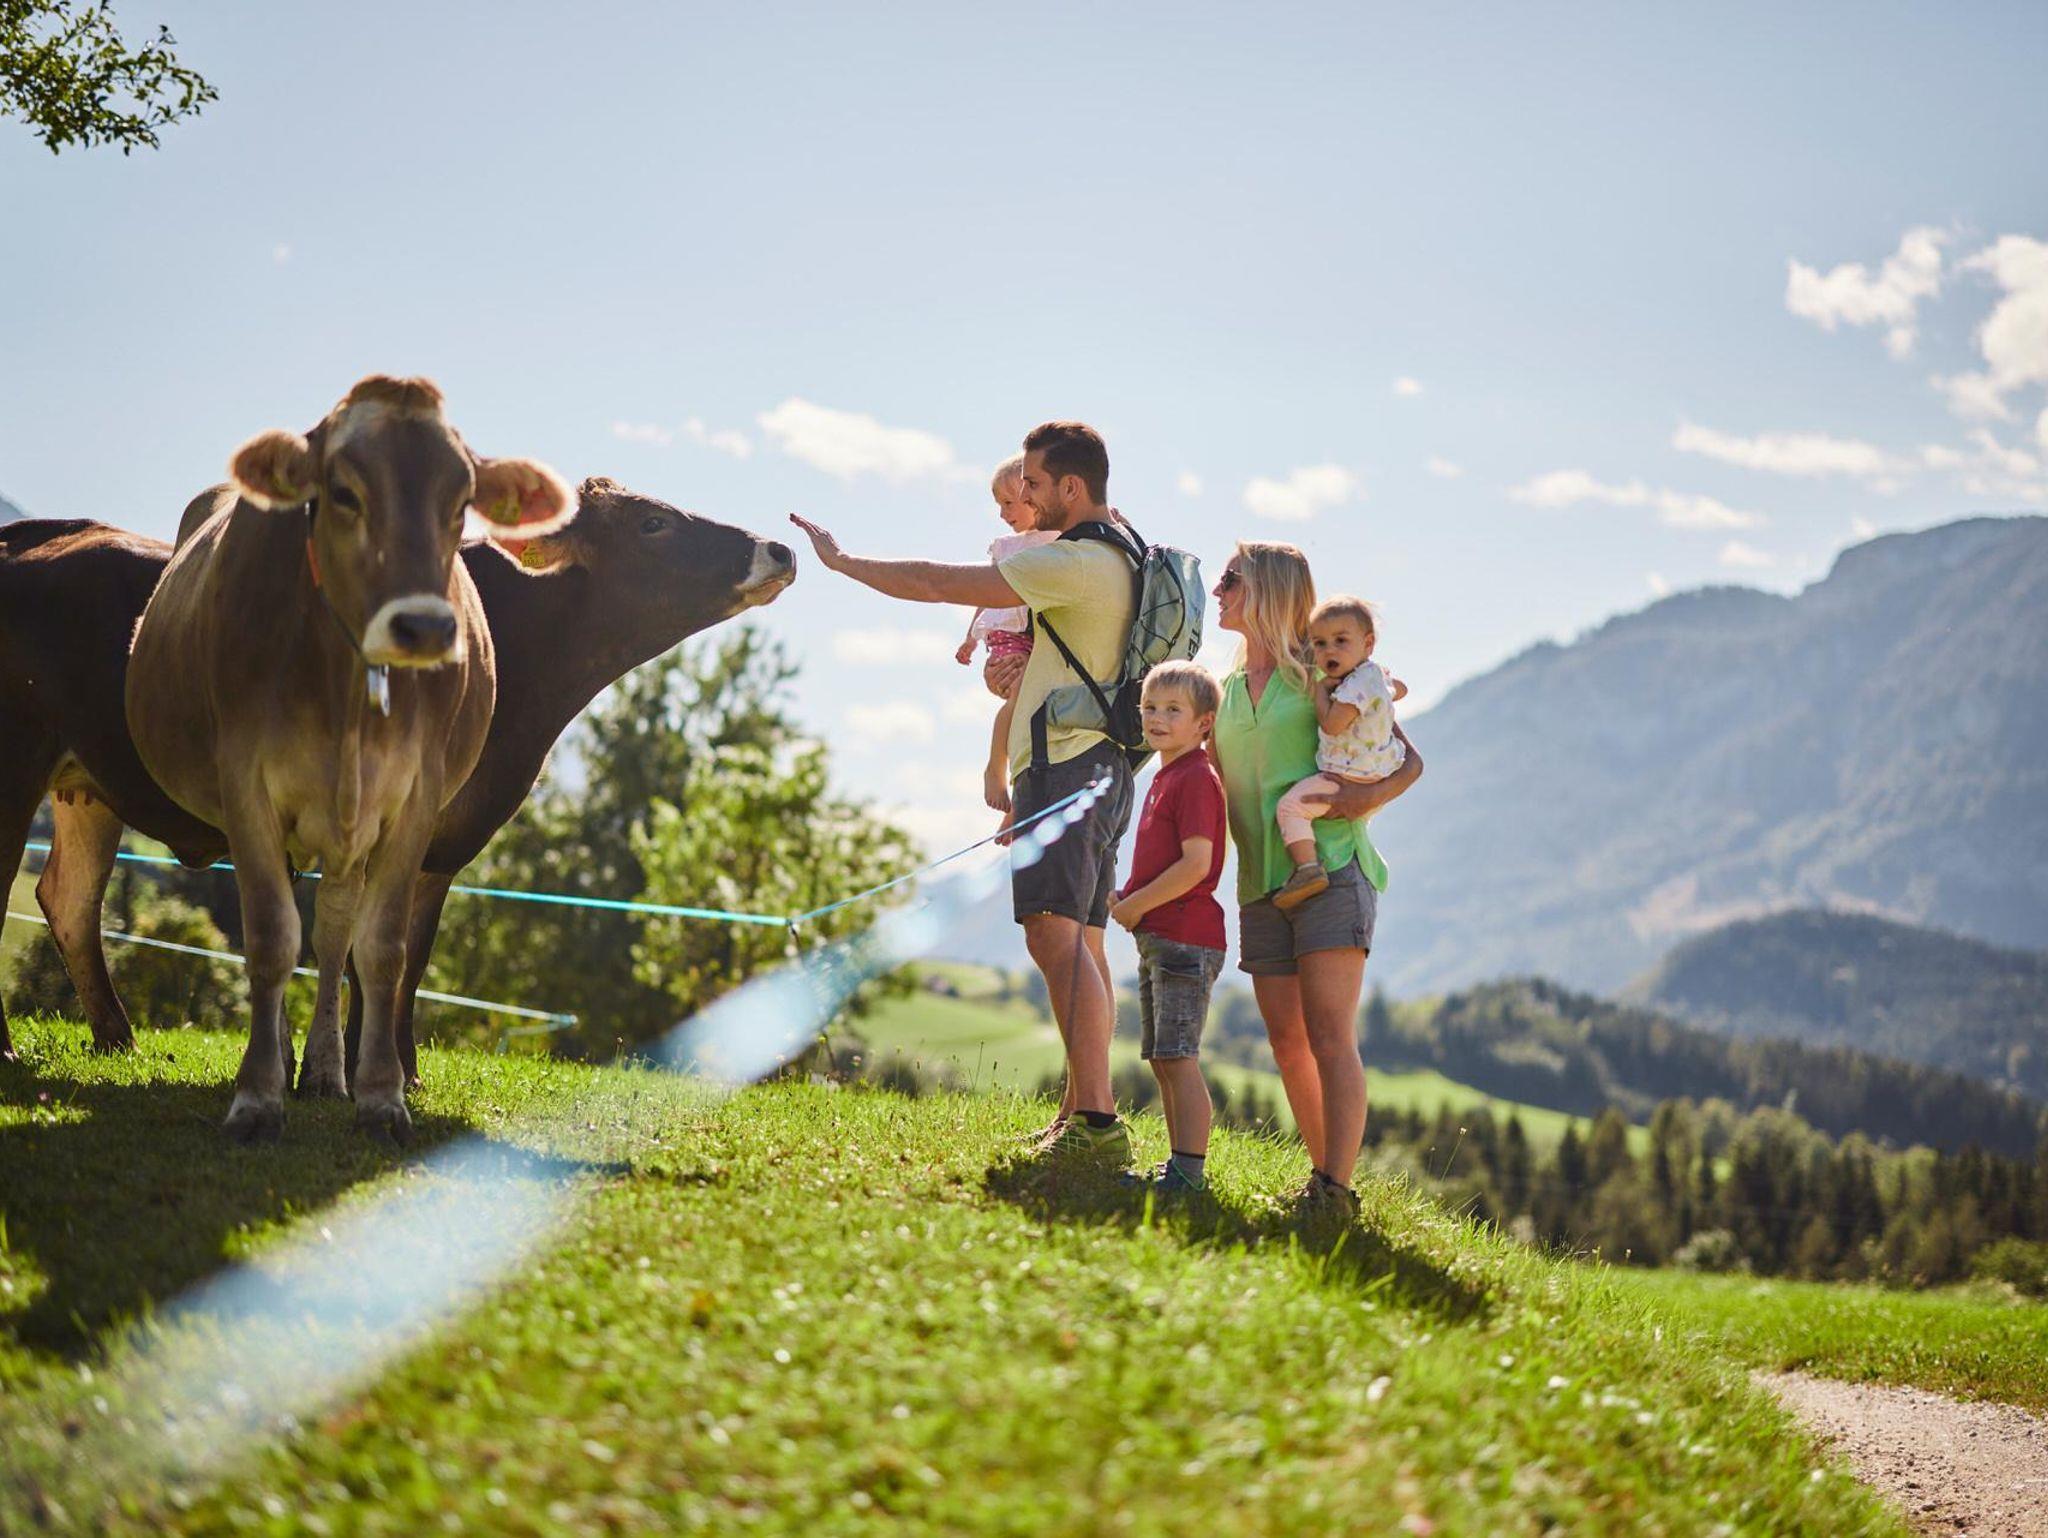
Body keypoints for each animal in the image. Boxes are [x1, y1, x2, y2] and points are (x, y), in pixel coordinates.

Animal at [0, 482, 795, 1071]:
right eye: (653, 523)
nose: (781, 547)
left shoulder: (444, 842)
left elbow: (409, 954)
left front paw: (398, 1067)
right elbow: (363, 951)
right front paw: (359, 1070)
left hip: (86, 783)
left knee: (68, 898)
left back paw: (118, 1040)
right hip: (17, 759)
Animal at [125, 375, 572, 1142]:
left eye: (462, 502)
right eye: (342, 492)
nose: (422, 626)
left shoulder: (416, 798)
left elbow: (380, 948)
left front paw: (381, 1097)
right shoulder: (245, 784)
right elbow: (270, 938)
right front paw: (256, 1096)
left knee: (334, 933)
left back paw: (326, 1073)